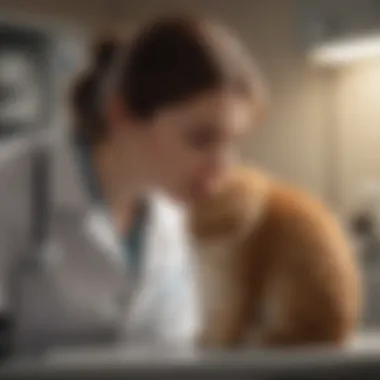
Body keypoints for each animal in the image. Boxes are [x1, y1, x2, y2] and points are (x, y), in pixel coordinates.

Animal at [189, 168, 360, 348]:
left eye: (219, 221)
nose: (197, 238)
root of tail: (341, 332)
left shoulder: (241, 283)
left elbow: (233, 317)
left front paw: (219, 338)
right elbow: (215, 315)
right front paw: (208, 334)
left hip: (285, 288)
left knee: (303, 334)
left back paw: (263, 336)